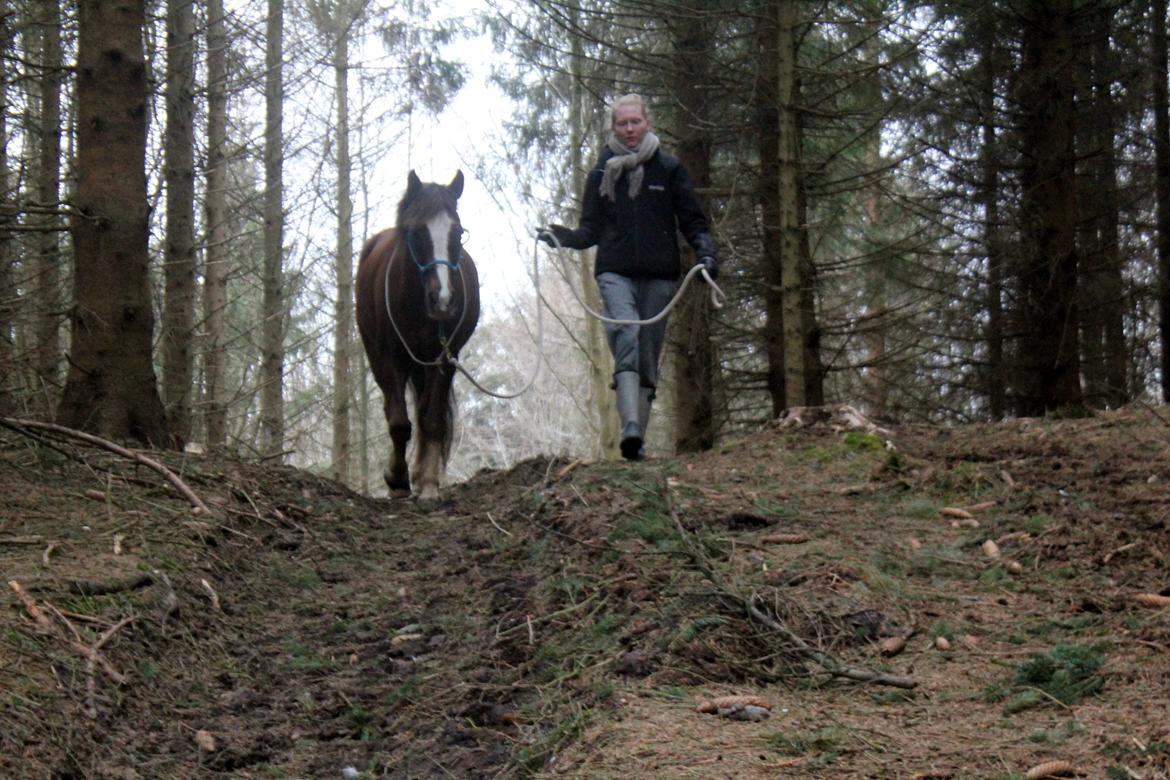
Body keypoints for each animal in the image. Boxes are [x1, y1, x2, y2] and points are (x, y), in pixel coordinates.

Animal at [358, 170, 482, 502]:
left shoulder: (445, 358)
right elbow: (399, 423)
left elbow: (432, 417)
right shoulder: (390, 359)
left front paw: (427, 483)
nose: (443, 300)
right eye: (415, 233)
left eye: (458, 233)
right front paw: (397, 480)